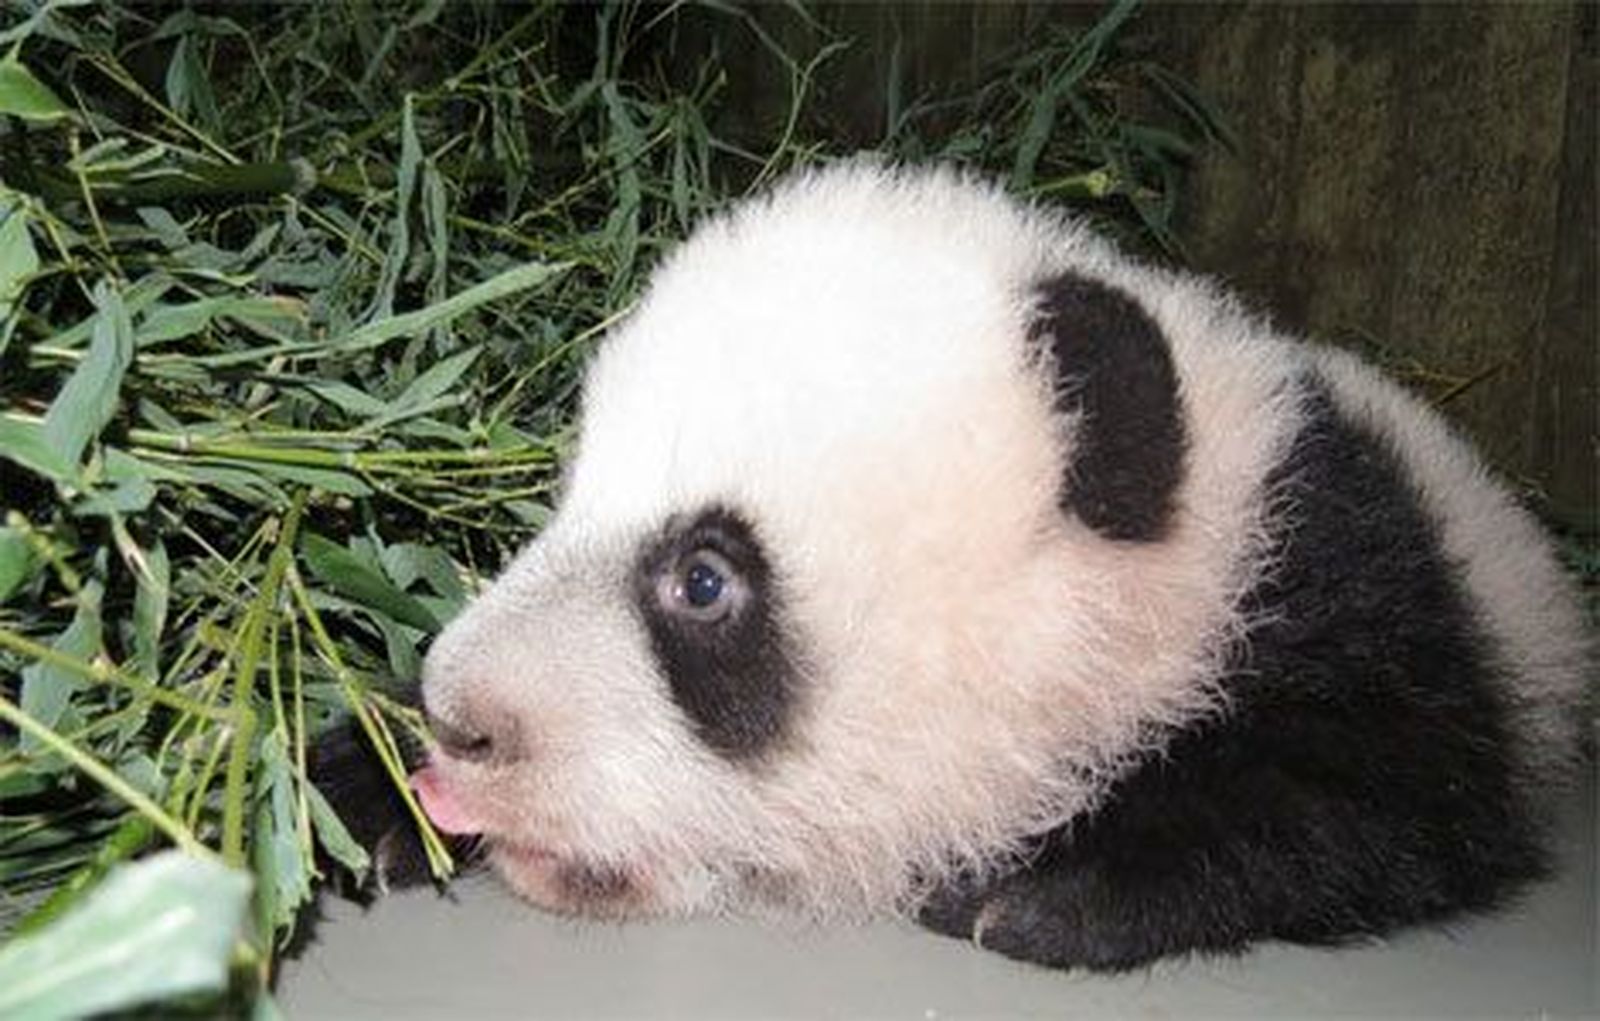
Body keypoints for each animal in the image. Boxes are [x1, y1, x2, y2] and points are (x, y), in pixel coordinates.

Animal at [397, 162, 1590, 972]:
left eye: (702, 582)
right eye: (563, 501)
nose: (460, 720)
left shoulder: (1362, 606)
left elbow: (1376, 801)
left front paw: (1044, 887)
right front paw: (377, 793)